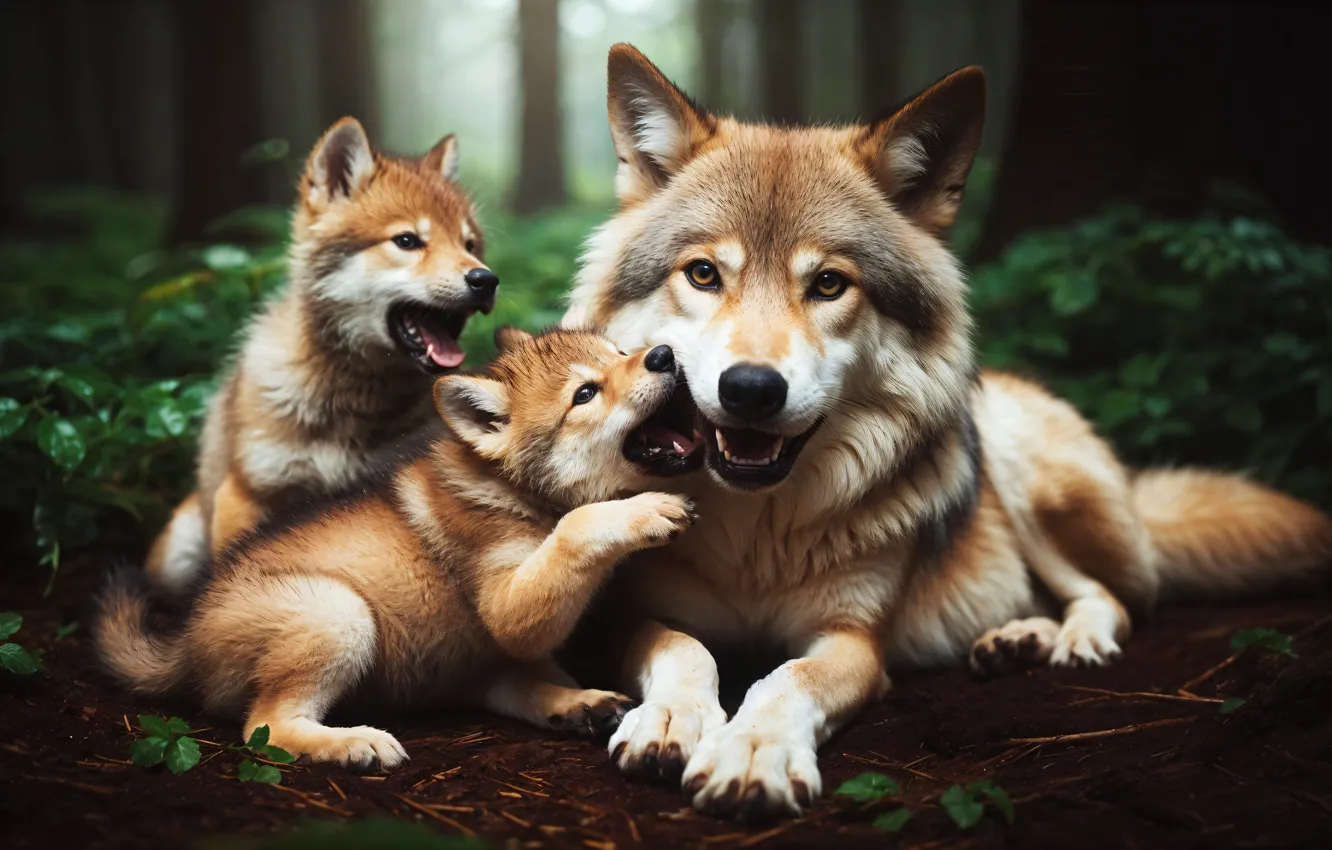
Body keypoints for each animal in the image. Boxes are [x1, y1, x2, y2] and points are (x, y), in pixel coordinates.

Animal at [98, 327, 705, 767]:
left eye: (620, 351)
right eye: (584, 393)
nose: (663, 354)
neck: (517, 493)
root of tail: (185, 644)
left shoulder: (518, 634)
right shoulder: (509, 610)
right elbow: (577, 528)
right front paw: (643, 512)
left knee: (506, 687)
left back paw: (578, 705)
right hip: (337, 615)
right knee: (265, 728)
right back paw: (351, 743)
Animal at [562, 44, 1332, 819]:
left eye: (829, 285)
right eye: (702, 274)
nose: (750, 389)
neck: (758, 536)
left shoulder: (854, 642)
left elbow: (786, 680)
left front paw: (753, 754)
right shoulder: (634, 616)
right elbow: (685, 650)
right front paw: (672, 720)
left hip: (1018, 470)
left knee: (1113, 598)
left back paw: (1071, 642)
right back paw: (1014, 638)